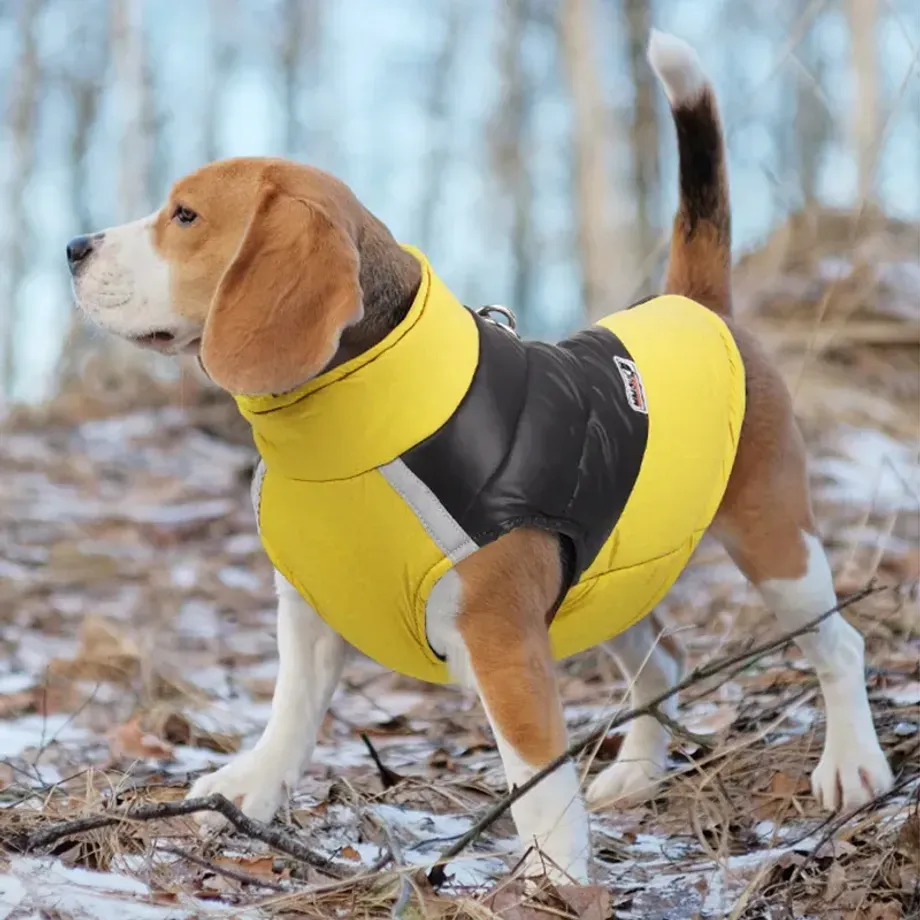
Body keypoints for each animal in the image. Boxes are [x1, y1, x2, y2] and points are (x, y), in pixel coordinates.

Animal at [66, 32, 892, 888]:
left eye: (185, 215)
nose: (73, 248)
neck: (353, 432)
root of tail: (696, 305)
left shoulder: (503, 640)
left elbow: (538, 781)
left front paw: (555, 881)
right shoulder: (311, 608)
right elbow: (290, 711)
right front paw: (251, 790)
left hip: (775, 542)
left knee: (838, 645)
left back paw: (853, 765)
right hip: (606, 576)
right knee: (664, 661)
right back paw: (637, 771)